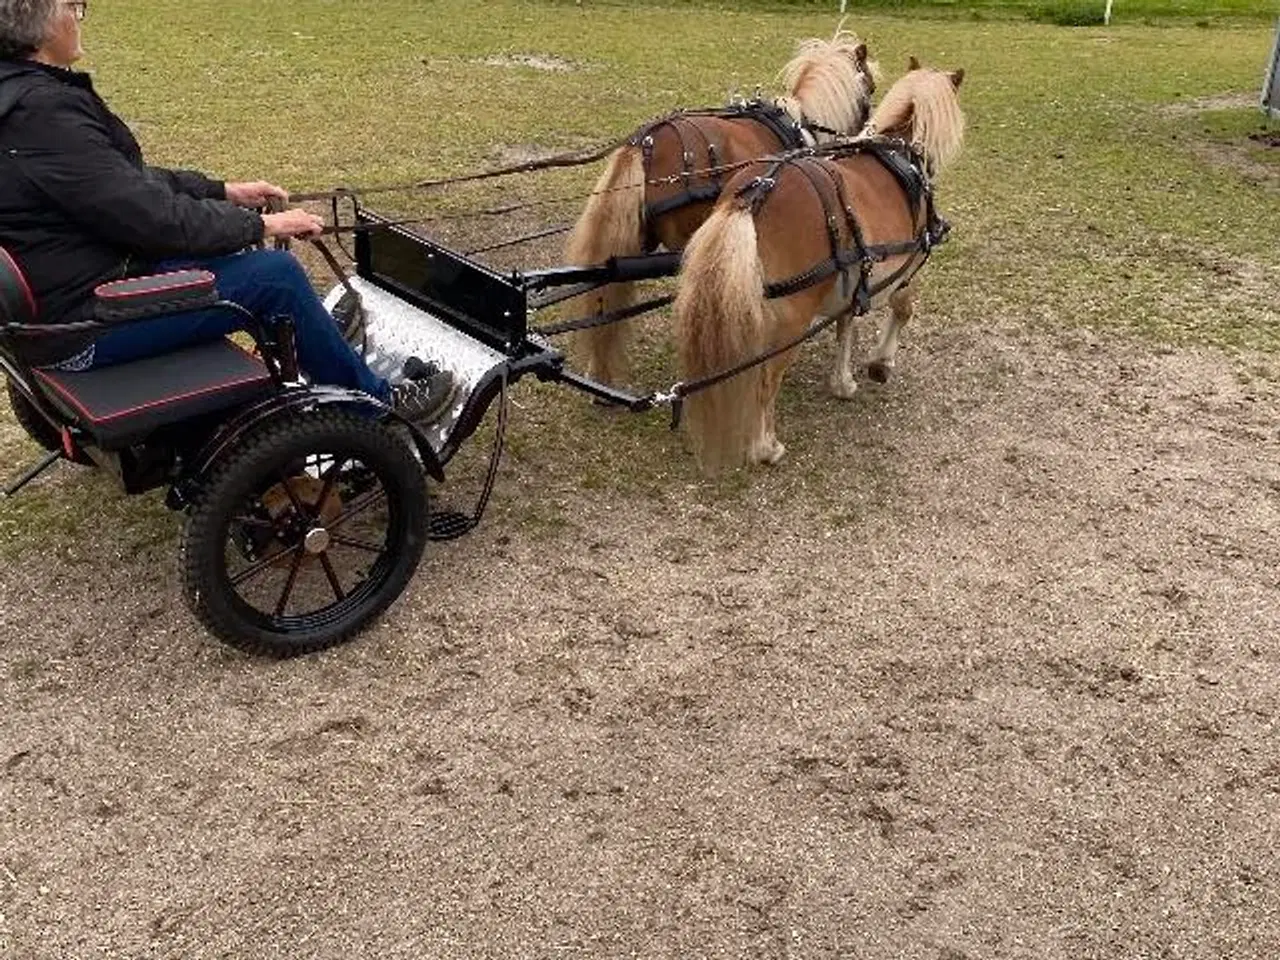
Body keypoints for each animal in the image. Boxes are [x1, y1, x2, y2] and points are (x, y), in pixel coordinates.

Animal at [675, 62, 962, 476]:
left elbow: (846, 325)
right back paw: (766, 447)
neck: (900, 152)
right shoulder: (909, 269)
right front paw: (881, 363)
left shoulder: (853, 274)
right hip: (790, 321)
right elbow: (903, 310)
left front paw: (842, 382)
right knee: (766, 380)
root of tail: (752, 197)